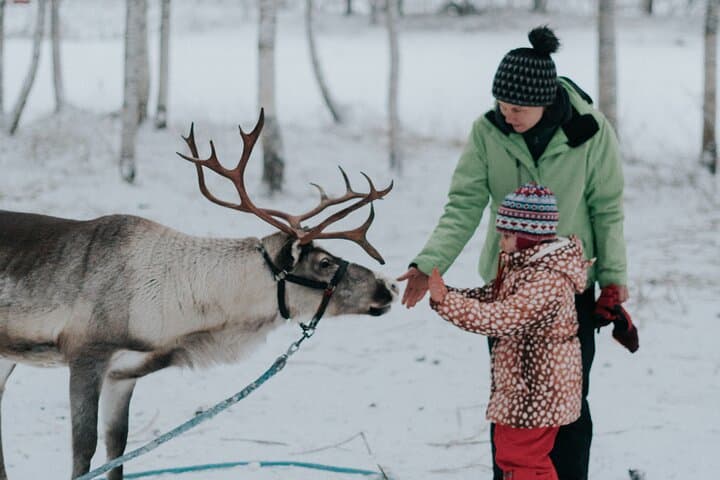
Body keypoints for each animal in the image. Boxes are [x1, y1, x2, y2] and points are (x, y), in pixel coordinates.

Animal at [0, 110, 397, 480]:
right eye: (325, 262)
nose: (389, 286)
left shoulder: (124, 374)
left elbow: (118, 447)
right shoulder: (86, 355)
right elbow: (84, 450)